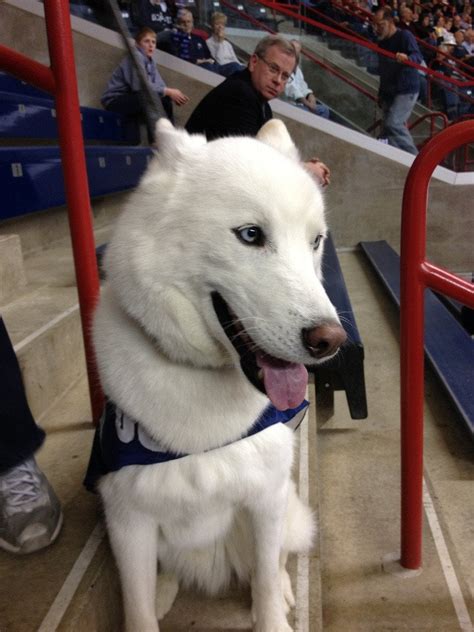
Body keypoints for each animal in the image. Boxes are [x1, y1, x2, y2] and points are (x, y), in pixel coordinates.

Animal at [89, 119, 346, 632]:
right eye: (250, 235)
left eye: (315, 241)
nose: (331, 340)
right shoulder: (127, 522)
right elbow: (136, 606)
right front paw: (150, 601)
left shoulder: (265, 500)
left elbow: (264, 580)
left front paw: (272, 612)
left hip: (287, 511)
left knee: (276, 560)